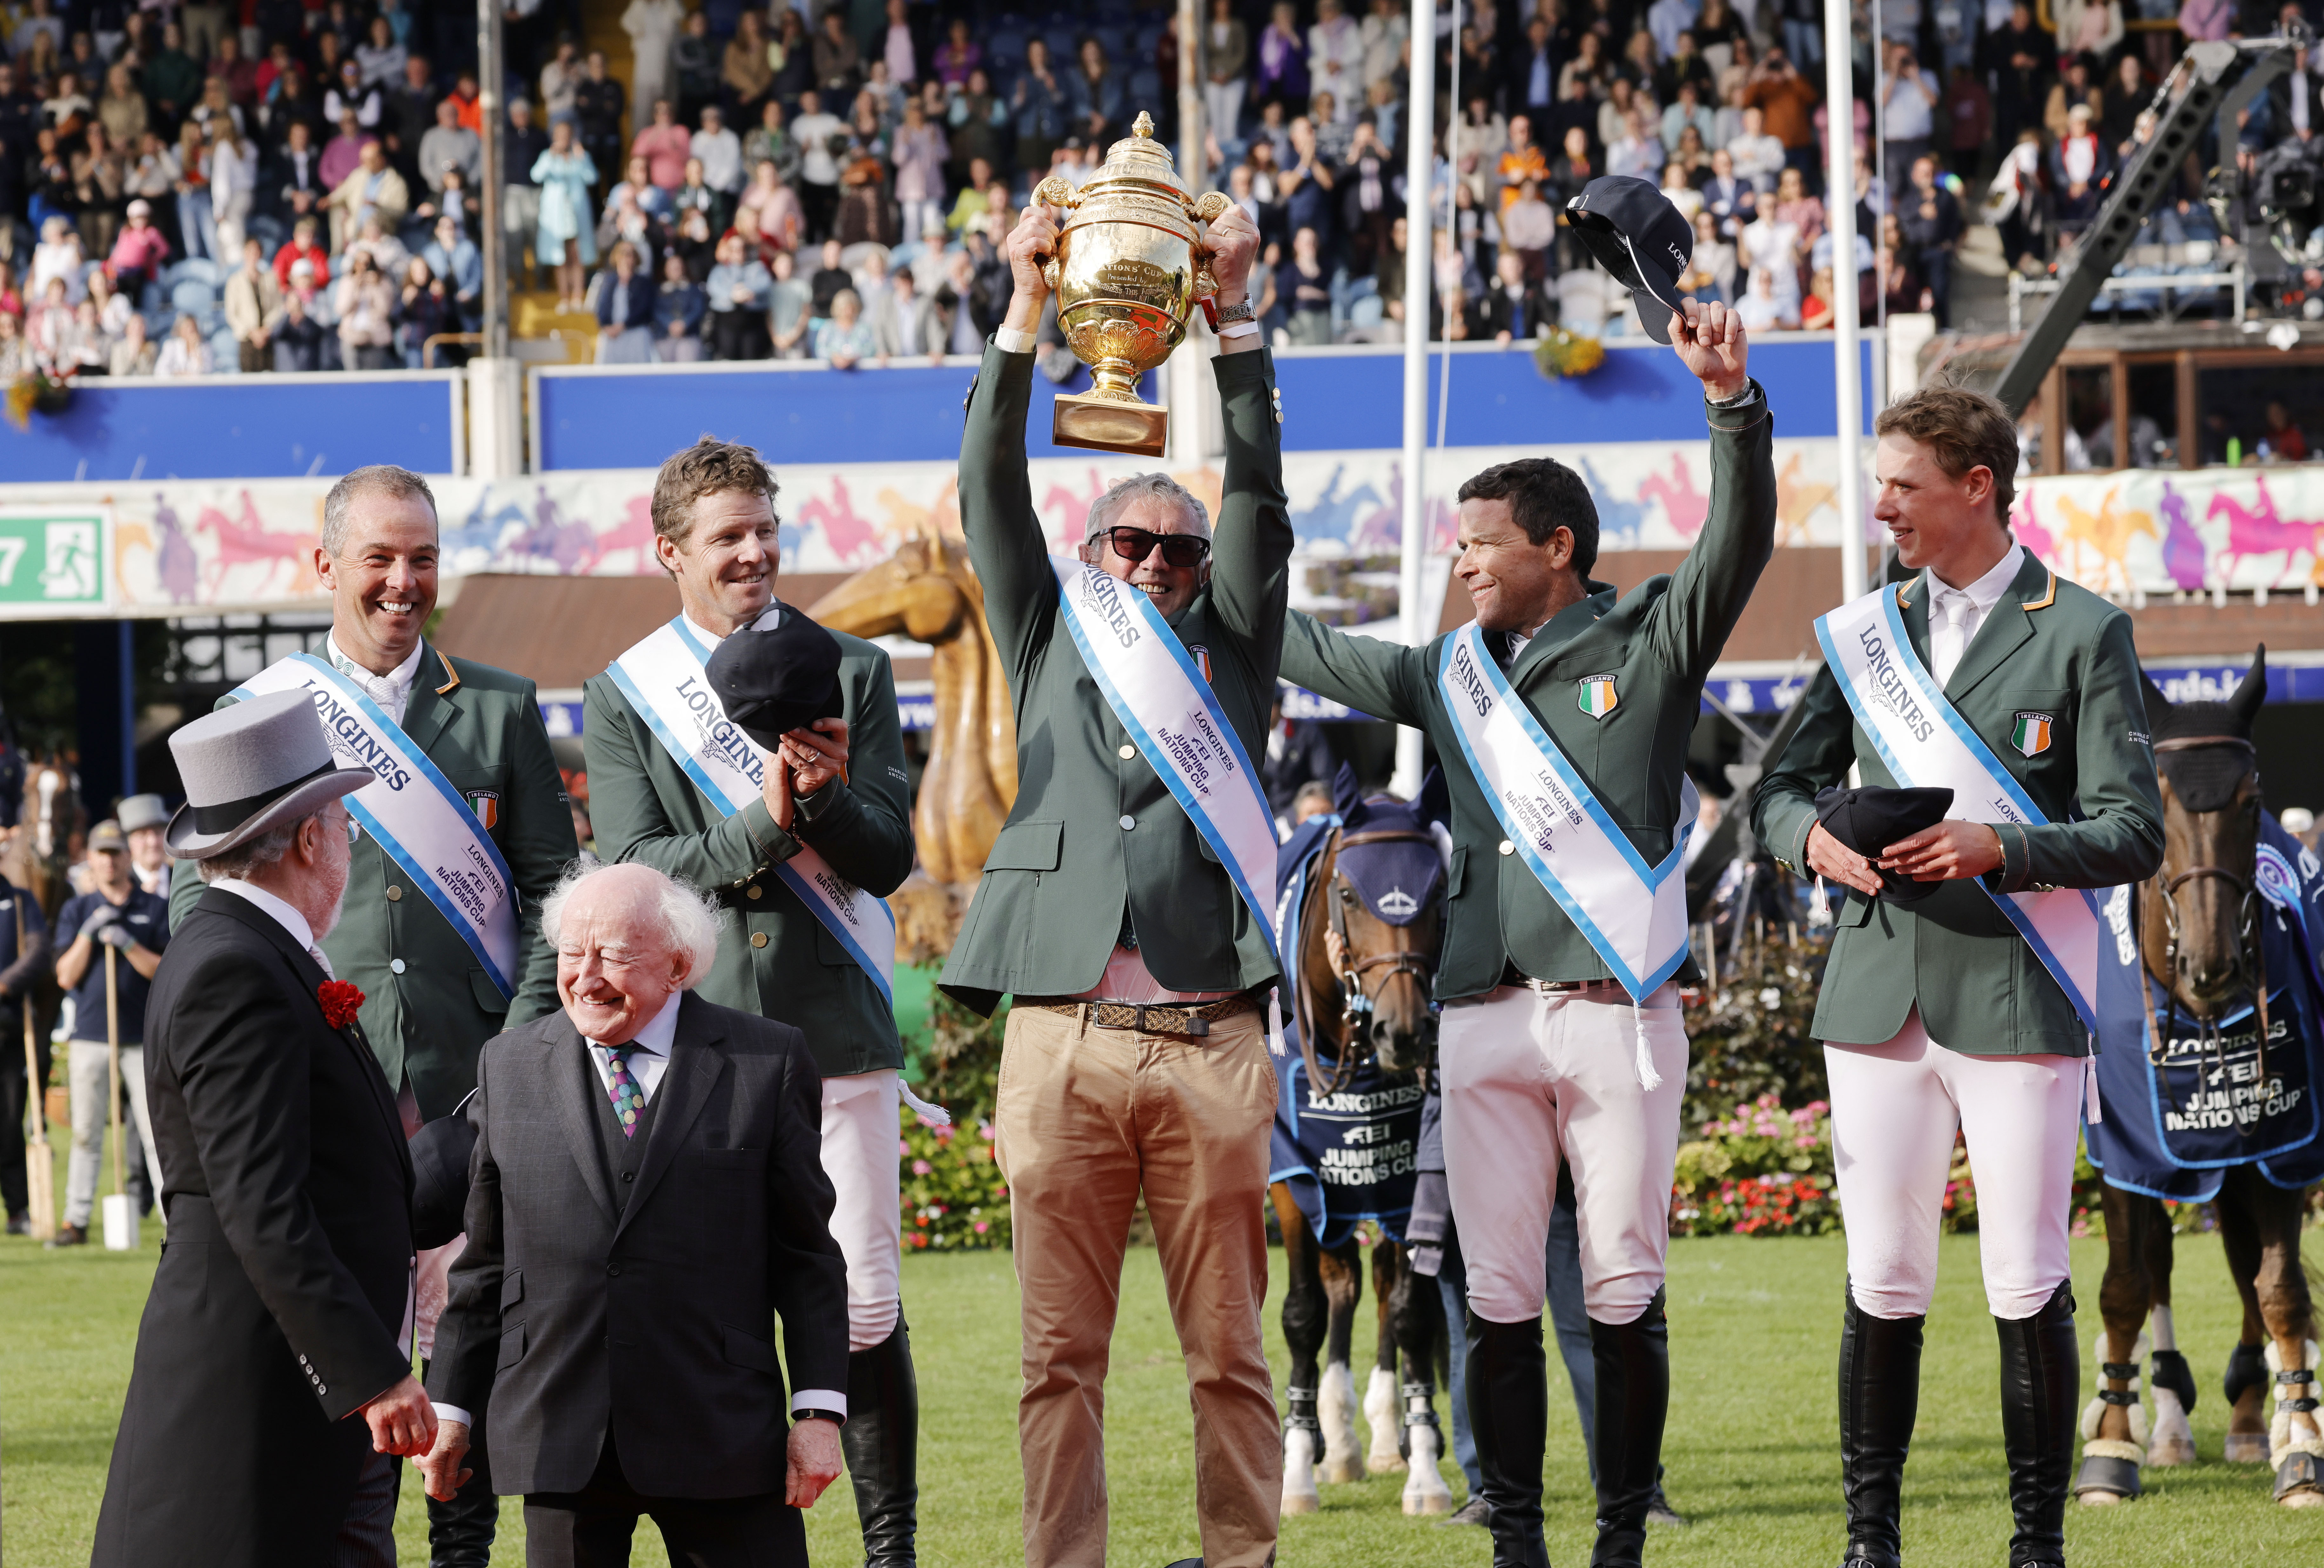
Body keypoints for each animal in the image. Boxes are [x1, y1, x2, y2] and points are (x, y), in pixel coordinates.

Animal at [2082, 650, 2314, 1505]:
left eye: (2251, 801)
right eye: (2158, 795)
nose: (2211, 962)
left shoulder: (2280, 1136)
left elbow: (2277, 1287)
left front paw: (2298, 1443)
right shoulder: (2125, 1149)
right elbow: (2127, 1280)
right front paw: (2112, 1444)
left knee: (2249, 1269)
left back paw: (2257, 1415)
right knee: (2160, 1264)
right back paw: (2170, 1419)